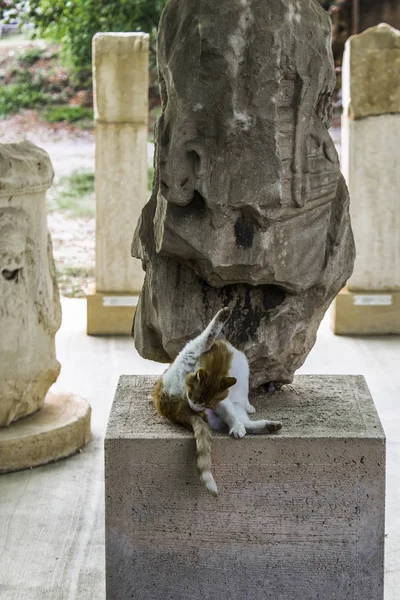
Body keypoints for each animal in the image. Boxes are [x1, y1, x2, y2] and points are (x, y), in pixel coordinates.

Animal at [153, 308, 282, 494]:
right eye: (192, 396)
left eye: (204, 402)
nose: (194, 406)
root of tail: (168, 404)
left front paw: (248, 407)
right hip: (188, 356)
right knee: (205, 338)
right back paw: (223, 314)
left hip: (221, 406)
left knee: (241, 422)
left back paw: (267, 426)